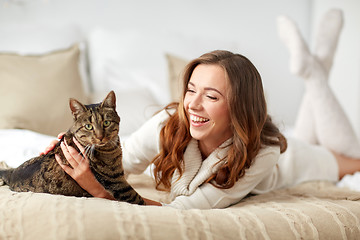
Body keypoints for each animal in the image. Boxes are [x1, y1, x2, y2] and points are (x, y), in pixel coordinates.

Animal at [0, 91, 145, 205]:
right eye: (89, 126)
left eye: (106, 123)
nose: (100, 137)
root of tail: (13, 174)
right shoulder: (116, 181)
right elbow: (139, 199)